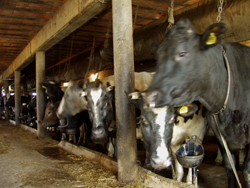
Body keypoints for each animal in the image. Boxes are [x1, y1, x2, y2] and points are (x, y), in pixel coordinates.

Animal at [144, 18, 249, 187]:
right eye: (158, 57)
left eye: (182, 53)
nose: (149, 95)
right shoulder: (221, 136)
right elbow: (230, 169)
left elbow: (246, 170)